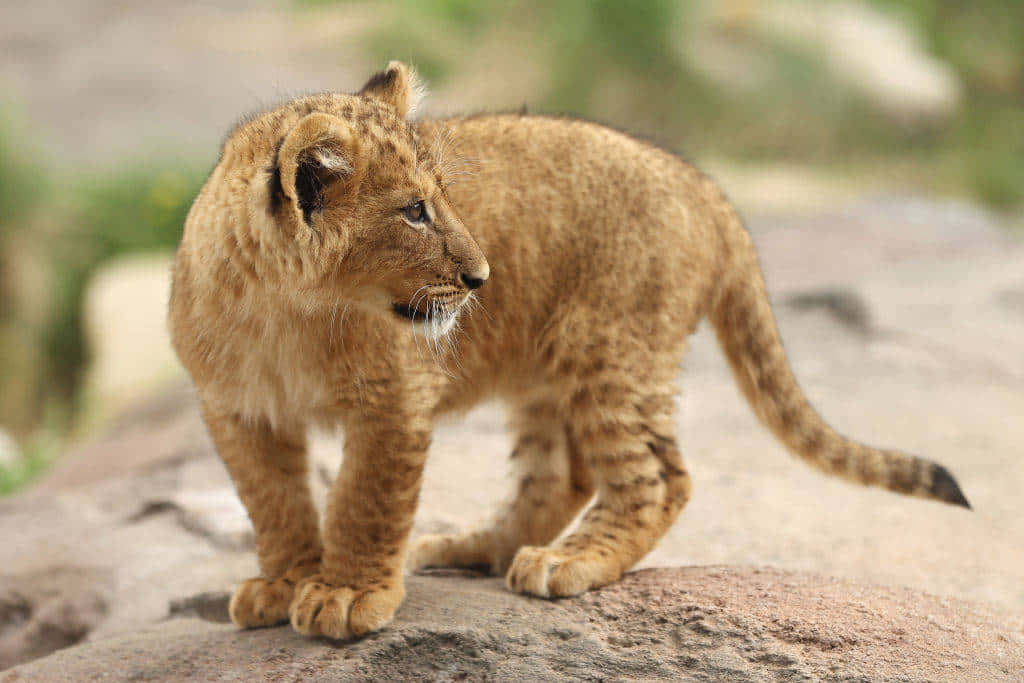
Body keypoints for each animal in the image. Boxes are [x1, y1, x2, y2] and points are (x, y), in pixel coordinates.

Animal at [167, 61, 969, 640]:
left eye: (443, 199)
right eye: (414, 212)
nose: (482, 277)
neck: (283, 312)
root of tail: (705, 186)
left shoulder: (394, 400)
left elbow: (364, 499)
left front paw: (345, 592)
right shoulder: (233, 409)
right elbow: (272, 502)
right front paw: (284, 583)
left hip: (608, 344)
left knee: (659, 478)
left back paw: (569, 560)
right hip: (545, 368)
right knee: (560, 477)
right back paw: (469, 546)